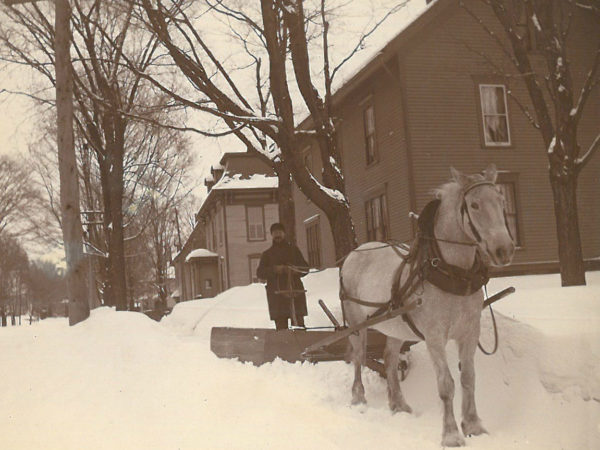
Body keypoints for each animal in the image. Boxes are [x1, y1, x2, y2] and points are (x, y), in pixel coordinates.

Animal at [342, 165, 516, 446]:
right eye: (474, 204)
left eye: (502, 200)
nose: (504, 249)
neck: (451, 272)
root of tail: (355, 252)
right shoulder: (434, 336)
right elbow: (446, 384)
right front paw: (451, 434)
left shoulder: (470, 332)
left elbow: (468, 378)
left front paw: (473, 425)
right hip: (357, 322)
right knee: (359, 357)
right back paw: (358, 398)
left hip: (395, 326)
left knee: (390, 359)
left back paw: (399, 404)